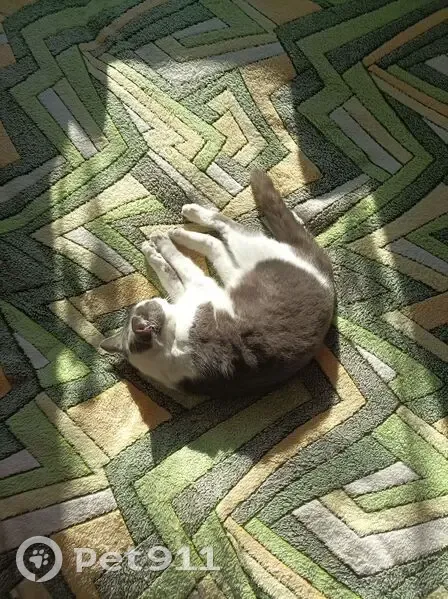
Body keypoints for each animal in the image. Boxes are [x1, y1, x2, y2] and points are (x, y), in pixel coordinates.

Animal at [100, 171, 335, 396]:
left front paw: (152, 250)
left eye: (145, 304)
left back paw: (178, 225)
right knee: (220, 235)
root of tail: (324, 274)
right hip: (243, 256)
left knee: (218, 236)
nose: (157, 299)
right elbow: (175, 266)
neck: (170, 344)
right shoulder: (200, 287)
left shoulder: (192, 293)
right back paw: (180, 226)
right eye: (151, 304)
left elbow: (171, 272)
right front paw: (157, 248)